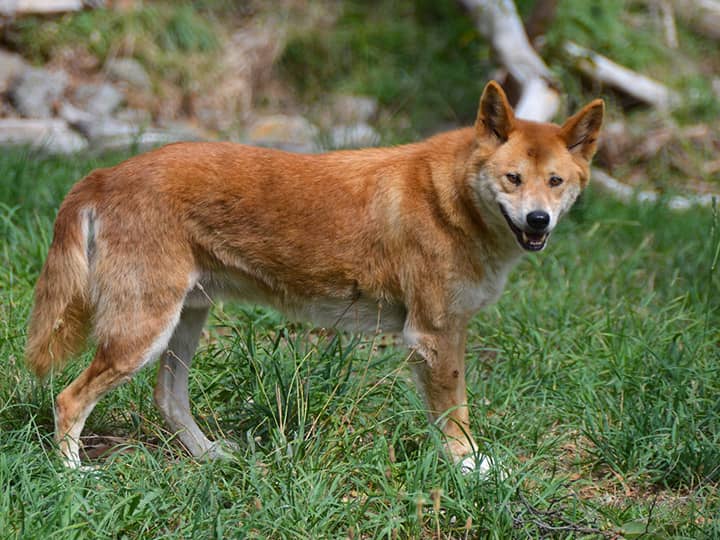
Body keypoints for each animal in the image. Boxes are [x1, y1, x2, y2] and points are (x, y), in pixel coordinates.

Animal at [26, 81, 600, 472]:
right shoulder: (435, 335)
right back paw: (75, 475)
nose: (538, 221)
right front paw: (472, 471)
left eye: (555, 181)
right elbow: (456, 417)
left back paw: (212, 456)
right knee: (68, 399)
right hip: (141, 332)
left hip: (182, 322)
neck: (450, 200)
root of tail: (106, 174)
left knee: (167, 400)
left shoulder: (434, 338)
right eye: (512, 178)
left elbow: (445, 416)